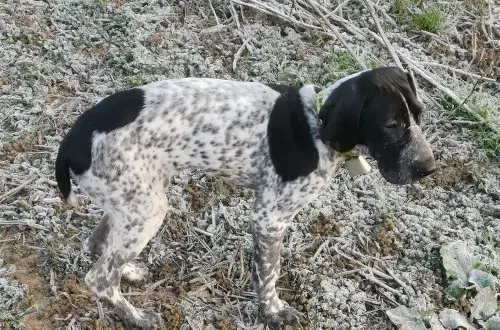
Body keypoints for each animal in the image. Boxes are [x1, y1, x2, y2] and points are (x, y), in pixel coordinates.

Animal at [54, 65, 436, 328]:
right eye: (390, 124)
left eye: (419, 115)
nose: (428, 168)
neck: (316, 124)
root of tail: (74, 137)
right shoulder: (269, 218)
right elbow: (268, 274)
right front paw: (273, 312)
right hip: (147, 208)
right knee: (99, 278)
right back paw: (136, 316)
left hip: (135, 198)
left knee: (98, 245)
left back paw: (129, 272)